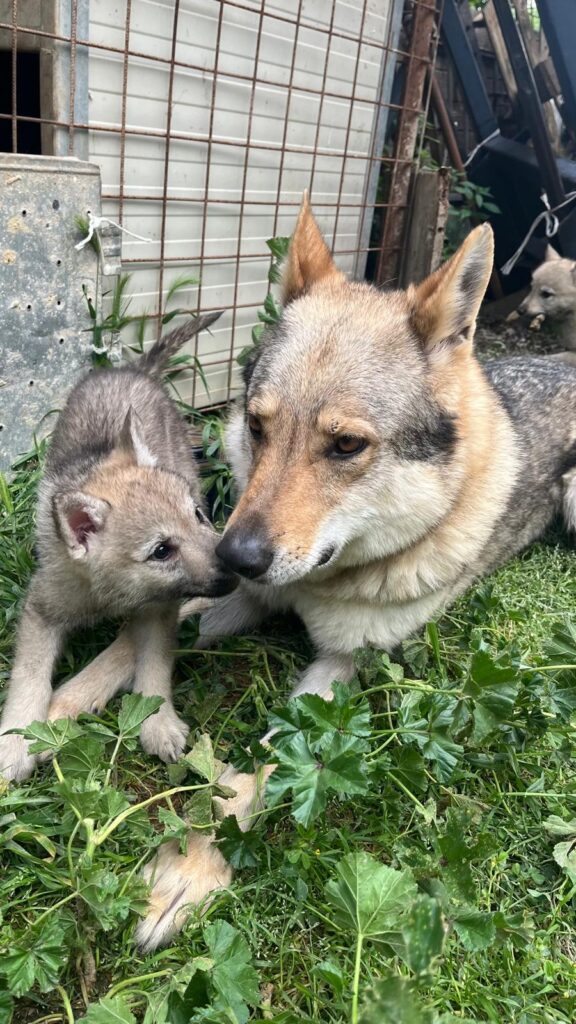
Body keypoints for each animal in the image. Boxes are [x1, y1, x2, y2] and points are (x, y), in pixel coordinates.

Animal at [0, 313, 237, 783]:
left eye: (197, 517)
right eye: (161, 551)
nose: (238, 569)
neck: (111, 594)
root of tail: (132, 370)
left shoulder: (159, 610)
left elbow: (153, 663)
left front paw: (158, 722)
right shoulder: (41, 608)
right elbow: (29, 674)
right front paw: (16, 739)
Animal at [35, 196, 576, 950]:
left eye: (346, 445)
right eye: (258, 427)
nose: (232, 558)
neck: (325, 581)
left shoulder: (340, 671)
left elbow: (261, 769)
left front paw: (189, 867)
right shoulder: (229, 596)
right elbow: (127, 647)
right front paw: (47, 714)